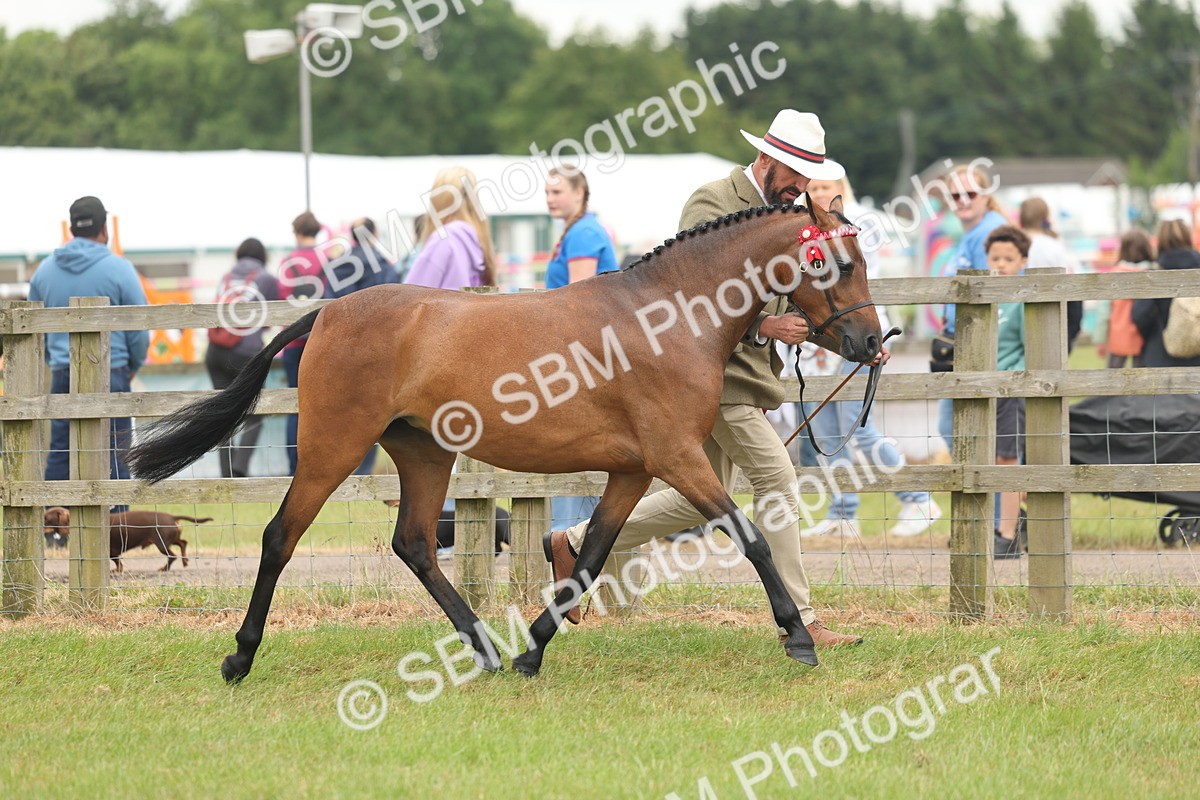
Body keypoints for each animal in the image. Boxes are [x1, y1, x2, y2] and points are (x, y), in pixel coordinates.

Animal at [126, 195, 881, 683]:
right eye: (839, 266)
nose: (873, 342)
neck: (666, 315)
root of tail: (332, 311)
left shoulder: (634, 471)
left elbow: (589, 558)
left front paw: (531, 652)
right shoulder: (677, 458)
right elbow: (750, 535)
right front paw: (798, 637)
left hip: (425, 453)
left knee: (415, 543)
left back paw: (486, 650)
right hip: (331, 448)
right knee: (280, 537)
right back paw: (240, 657)